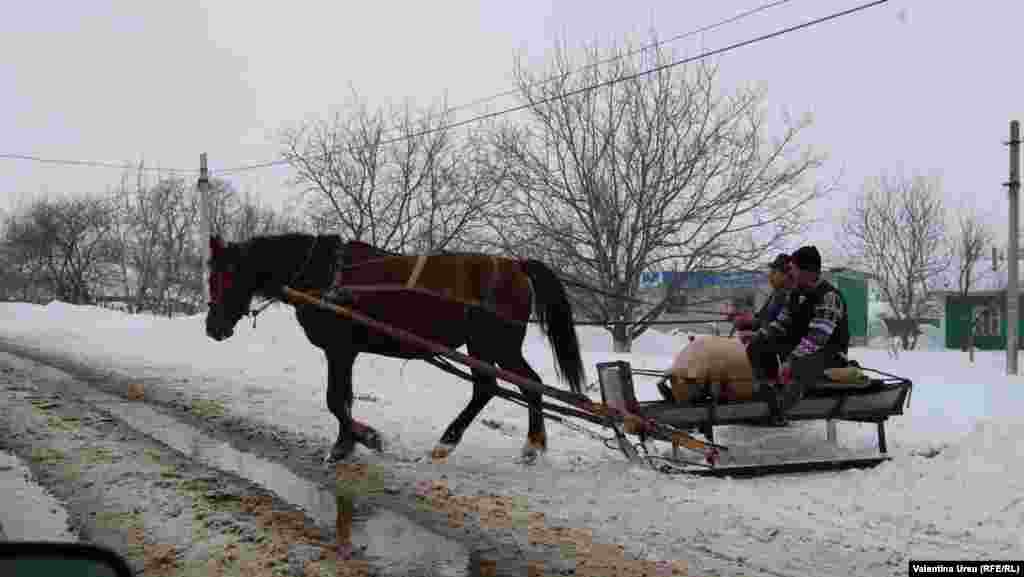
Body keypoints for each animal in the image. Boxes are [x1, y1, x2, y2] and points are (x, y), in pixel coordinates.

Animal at [203, 232, 585, 463]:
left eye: (225, 277)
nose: (212, 328)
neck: (322, 276)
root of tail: (516, 264)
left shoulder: (339, 349)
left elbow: (335, 400)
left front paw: (366, 437)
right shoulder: (346, 352)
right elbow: (344, 398)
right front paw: (345, 444)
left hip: (492, 344)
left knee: (502, 386)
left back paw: (462, 441)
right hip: (490, 347)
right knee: (515, 386)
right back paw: (530, 444)